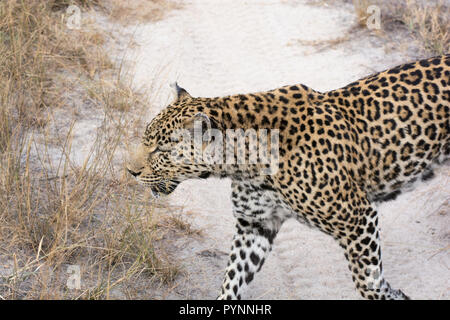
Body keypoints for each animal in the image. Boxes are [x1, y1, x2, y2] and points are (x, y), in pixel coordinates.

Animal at [126, 53, 450, 298]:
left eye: (160, 150)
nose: (131, 171)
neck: (245, 162)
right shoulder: (255, 225)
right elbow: (232, 279)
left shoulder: (358, 219)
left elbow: (368, 281)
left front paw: (393, 294)